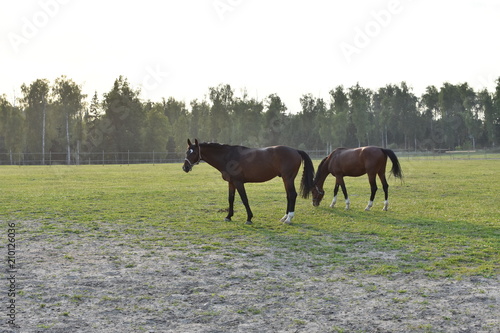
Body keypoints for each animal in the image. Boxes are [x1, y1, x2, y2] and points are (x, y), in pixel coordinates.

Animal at [182, 137, 314, 223]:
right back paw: (284, 217)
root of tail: (295, 150)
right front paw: (228, 216)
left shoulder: (239, 182)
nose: (185, 167)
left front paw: (249, 218)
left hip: (288, 178)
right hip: (286, 179)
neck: (228, 157)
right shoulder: (231, 183)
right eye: (187, 151)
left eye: (193, 152)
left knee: (292, 195)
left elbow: (244, 199)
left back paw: (289, 218)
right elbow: (230, 199)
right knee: (288, 195)